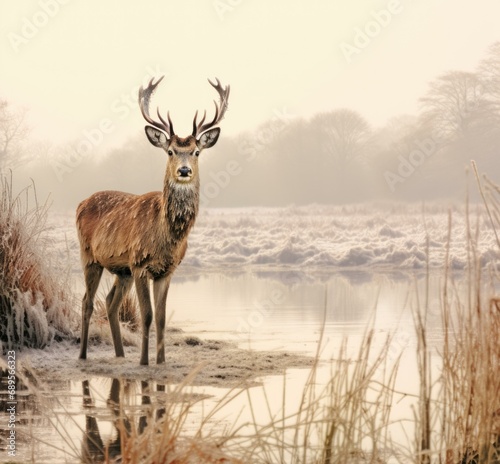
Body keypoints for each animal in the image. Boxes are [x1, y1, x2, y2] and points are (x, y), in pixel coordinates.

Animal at [76, 76, 230, 364]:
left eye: (197, 152)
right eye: (170, 151)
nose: (184, 171)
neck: (166, 238)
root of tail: (81, 203)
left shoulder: (167, 271)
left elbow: (161, 318)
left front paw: (160, 362)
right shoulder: (139, 263)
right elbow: (146, 316)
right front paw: (144, 363)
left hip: (120, 270)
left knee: (111, 303)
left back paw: (120, 355)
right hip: (89, 256)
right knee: (86, 302)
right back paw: (82, 356)